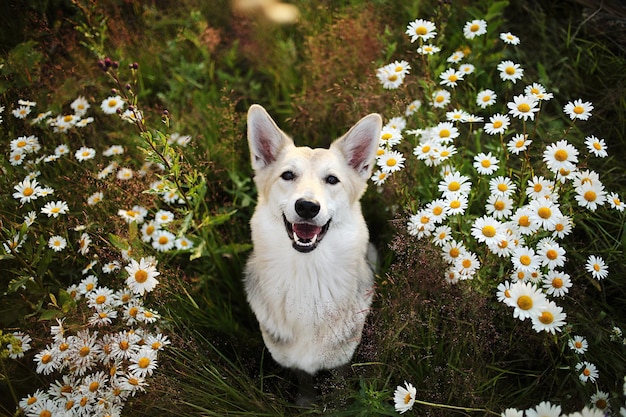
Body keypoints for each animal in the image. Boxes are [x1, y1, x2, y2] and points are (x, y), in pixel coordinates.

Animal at [244, 105, 380, 384]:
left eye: (332, 180)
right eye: (287, 175)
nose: (307, 206)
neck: (306, 274)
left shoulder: (341, 362)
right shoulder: (296, 366)